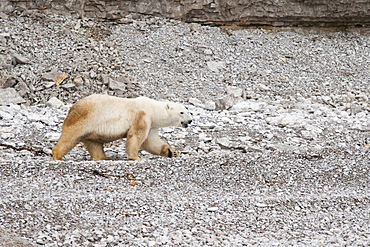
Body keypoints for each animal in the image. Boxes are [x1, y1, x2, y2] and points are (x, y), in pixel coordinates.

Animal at [52, 94, 191, 160]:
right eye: (181, 112)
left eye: (188, 111)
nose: (190, 121)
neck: (153, 109)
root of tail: (72, 107)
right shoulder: (142, 116)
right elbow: (136, 136)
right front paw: (136, 157)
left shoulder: (152, 124)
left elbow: (151, 142)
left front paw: (172, 151)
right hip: (84, 119)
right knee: (70, 136)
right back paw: (57, 155)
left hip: (91, 129)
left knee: (94, 143)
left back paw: (105, 158)